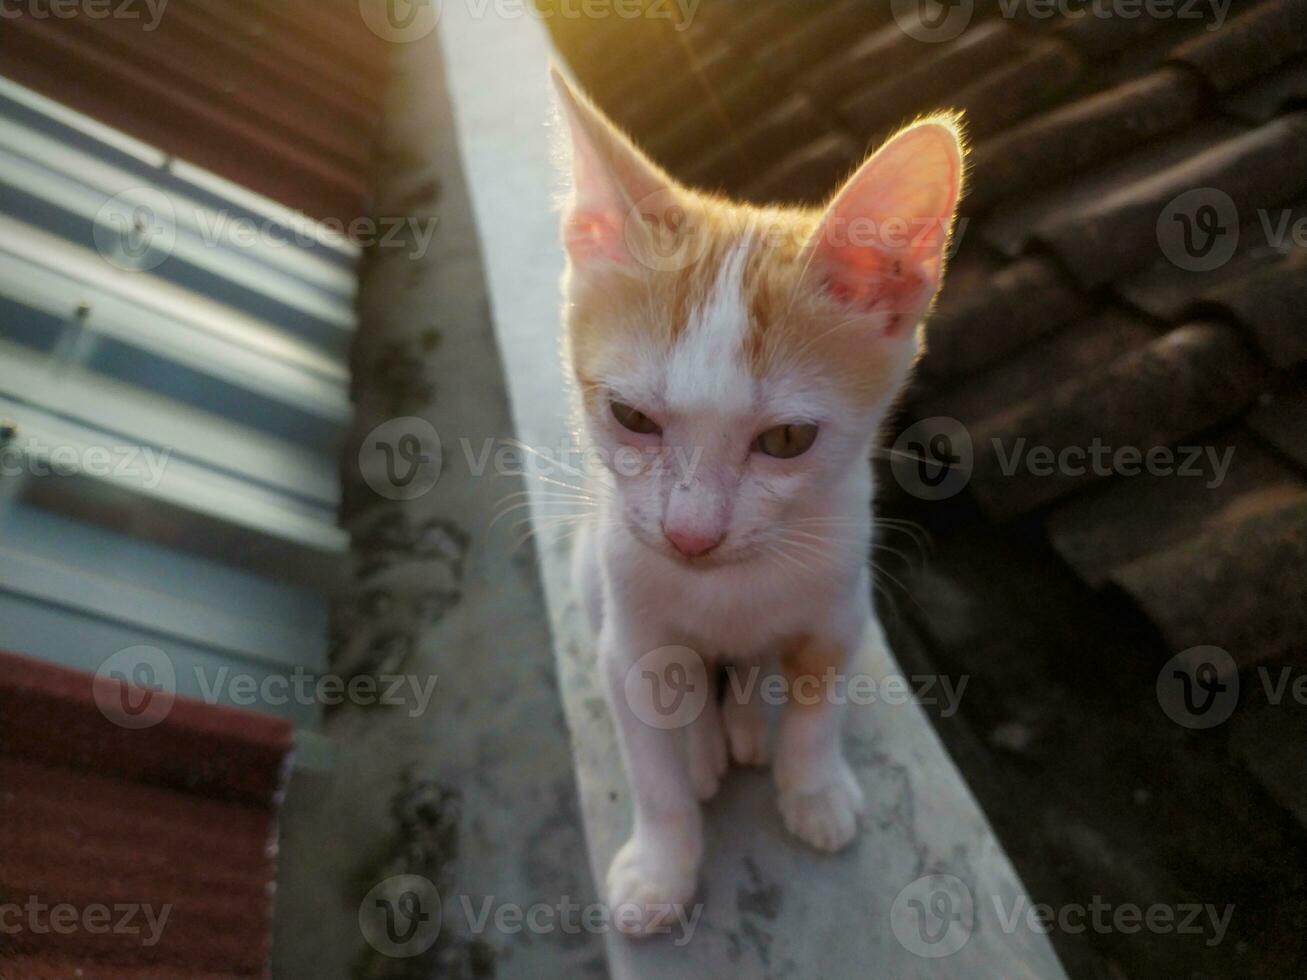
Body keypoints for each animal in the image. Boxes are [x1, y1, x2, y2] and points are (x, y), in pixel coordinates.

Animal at [546, 65, 967, 940]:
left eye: (785, 440)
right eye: (630, 417)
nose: (689, 536)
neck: (728, 588)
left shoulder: (842, 603)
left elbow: (816, 703)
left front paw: (812, 788)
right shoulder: (627, 634)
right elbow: (652, 768)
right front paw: (662, 866)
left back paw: (739, 719)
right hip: (589, 568)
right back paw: (705, 740)